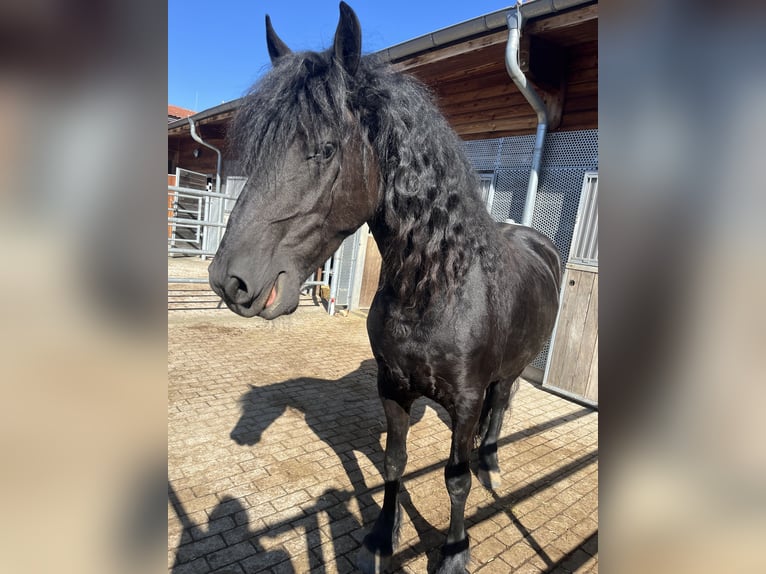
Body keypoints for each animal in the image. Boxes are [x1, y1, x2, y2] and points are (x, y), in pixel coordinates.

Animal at [208, 3, 562, 572]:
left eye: (325, 150)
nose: (229, 281)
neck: (436, 292)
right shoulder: (392, 387)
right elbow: (394, 462)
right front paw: (381, 535)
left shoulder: (465, 402)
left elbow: (455, 479)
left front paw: (454, 552)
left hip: (511, 370)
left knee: (500, 408)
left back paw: (492, 464)